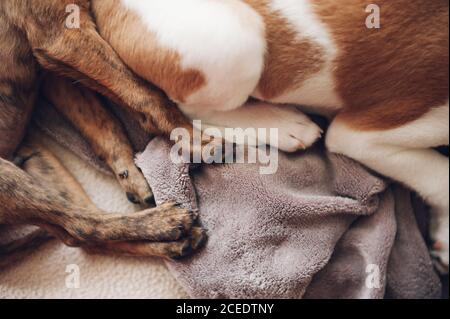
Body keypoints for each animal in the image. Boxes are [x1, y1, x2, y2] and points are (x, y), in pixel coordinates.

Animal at [0, 0, 207, 262]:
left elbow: (105, 124)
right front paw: (199, 139)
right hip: (7, 178)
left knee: (82, 236)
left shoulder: (54, 71)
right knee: (82, 226)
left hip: (40, 164)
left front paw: (132, 174)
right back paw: (165, 222)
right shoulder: (63, 37)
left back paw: (175, 243)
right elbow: (145, 93)